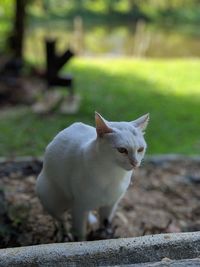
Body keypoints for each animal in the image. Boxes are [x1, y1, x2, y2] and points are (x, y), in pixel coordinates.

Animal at [35, 112, 148, 242]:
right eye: (122, 150)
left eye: (140, 149)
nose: (135, 163)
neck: (113, 174)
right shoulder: (79, 207)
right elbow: (80, 233)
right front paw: (81, 242)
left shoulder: (110, 205)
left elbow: (105, 224)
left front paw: (104, 236)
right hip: (51, 200)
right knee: (61, 221)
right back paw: (64, 237)